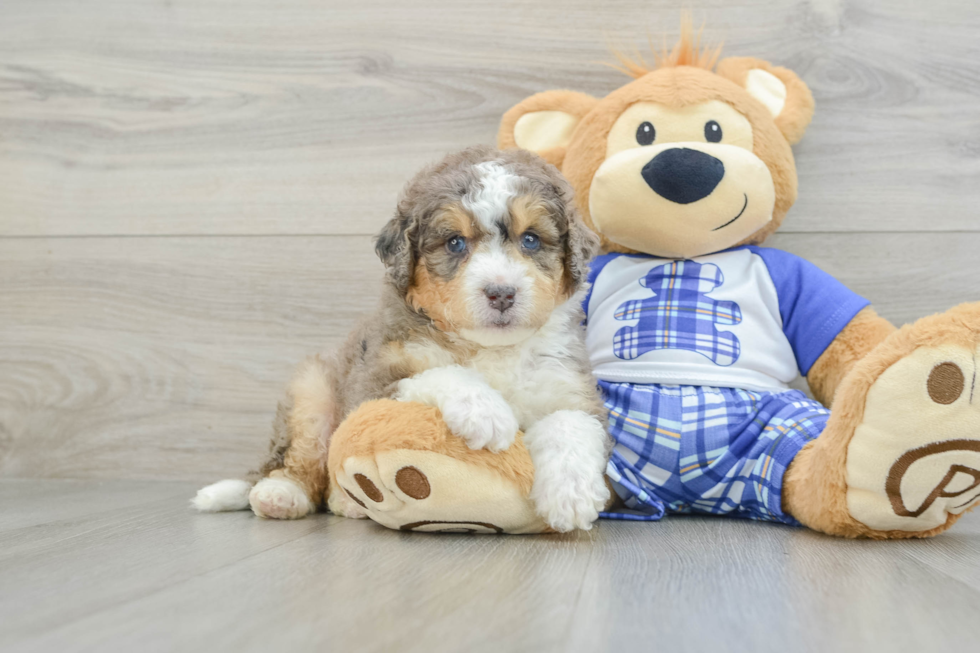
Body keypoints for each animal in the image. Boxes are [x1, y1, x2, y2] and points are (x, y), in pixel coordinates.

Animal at [193, 144, 612, 528]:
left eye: (531, 240)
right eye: (455, 242)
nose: (501, 293)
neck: (491, 348)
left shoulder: (570, 386)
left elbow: (571, 423)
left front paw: (570, 496)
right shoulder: (375, 379)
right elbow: (439, 373)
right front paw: (486, 411)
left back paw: (348, 503)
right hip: (311, 390)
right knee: (299, 457)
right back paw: (281, 493)